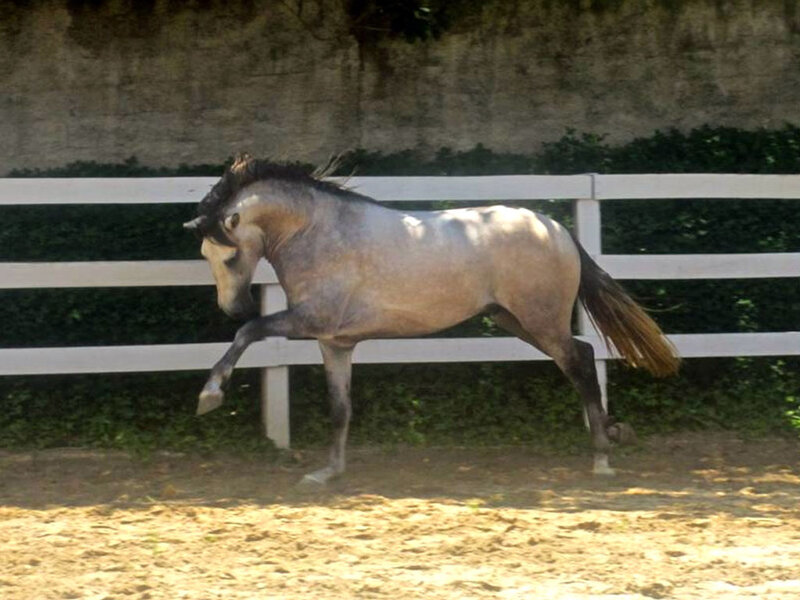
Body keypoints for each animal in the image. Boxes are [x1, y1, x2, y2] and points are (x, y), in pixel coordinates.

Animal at [184, 154, 679, 485]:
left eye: (230, 256)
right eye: (206, 255)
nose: (234, 307)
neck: (321, 233)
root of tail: (557, 229)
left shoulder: (309, 319)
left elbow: (249, 333)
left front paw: (209, 396)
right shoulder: (334, 341)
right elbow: (340, 407)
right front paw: (329, 472)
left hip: (539, 320)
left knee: (580, 362)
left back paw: (601, 456)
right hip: (516, 321)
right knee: (583, 355)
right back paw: (612, 434)